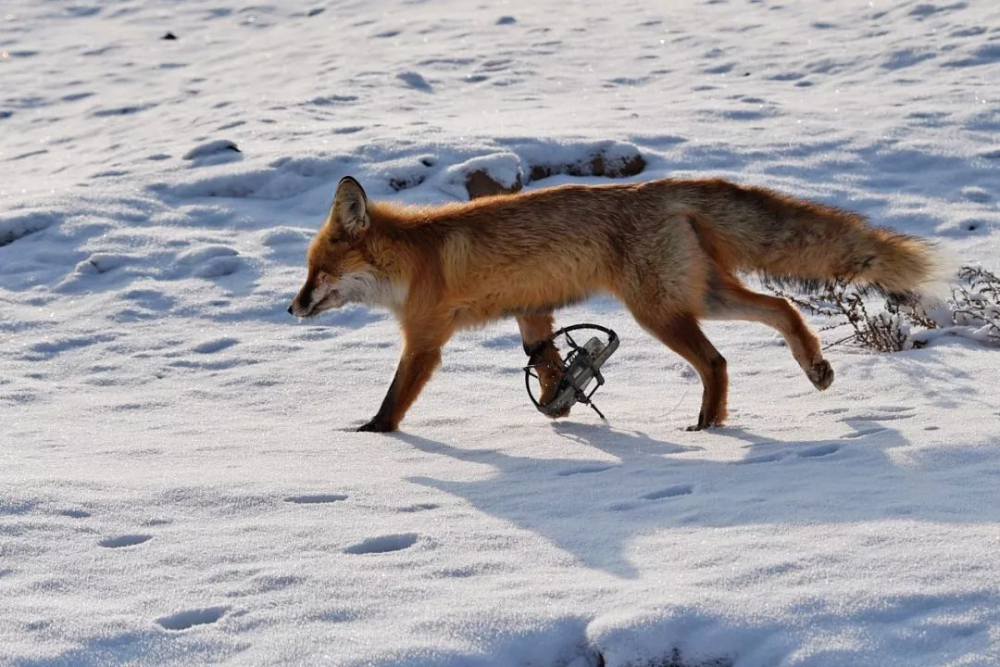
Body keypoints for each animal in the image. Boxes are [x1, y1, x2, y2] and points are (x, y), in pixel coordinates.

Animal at [290, 177, 944, 434]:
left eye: (316, 272)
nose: (291, 309)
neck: (414, 261)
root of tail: (664, 189)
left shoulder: (424, 340)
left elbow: (392, 401)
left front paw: (371, 437)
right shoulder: (533, 310)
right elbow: (543, 358)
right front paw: (559, 404)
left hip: (659, 311)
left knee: (717, 362)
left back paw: (708, 427)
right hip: (701, 296)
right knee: (783, 307)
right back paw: (814, 369)